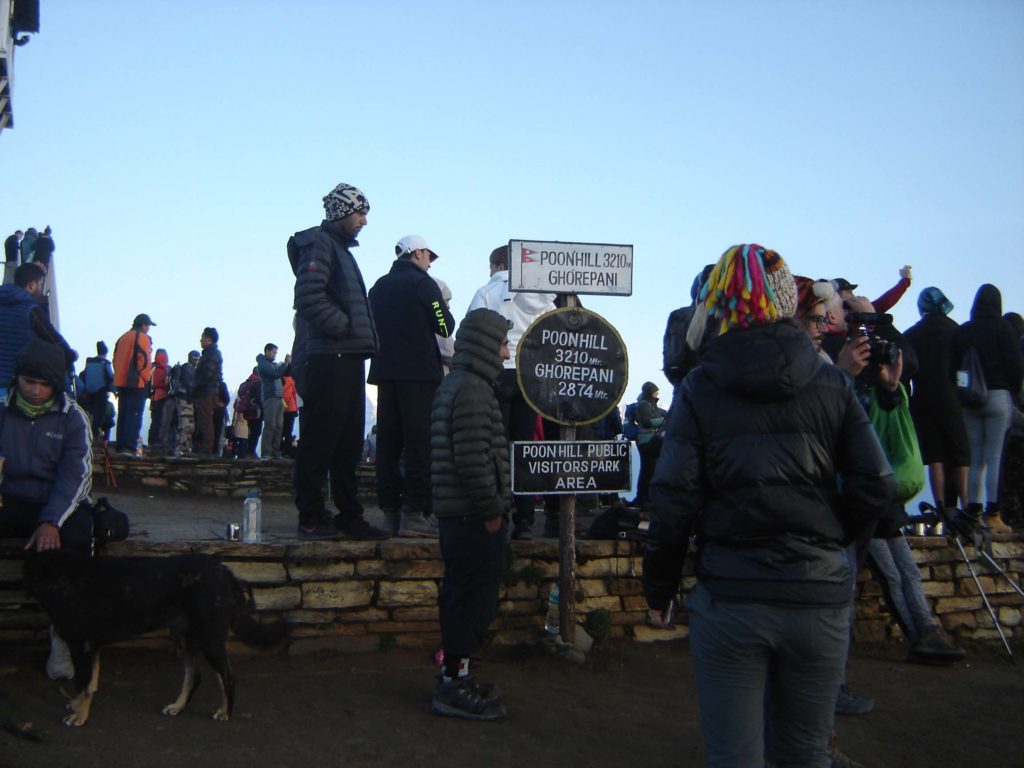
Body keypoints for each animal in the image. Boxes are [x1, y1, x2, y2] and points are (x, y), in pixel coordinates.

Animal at [24, 552, 288, 729]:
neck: (63, 574)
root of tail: (227, 573)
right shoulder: (93, 646)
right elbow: (89, 684)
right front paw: (78, 706)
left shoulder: (82, 645)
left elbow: (83, 684)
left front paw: (79, 716)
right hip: (187, 637)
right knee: (194, 675)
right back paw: (178, 706)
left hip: (209, 639)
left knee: (227, 674)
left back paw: (225, 711)